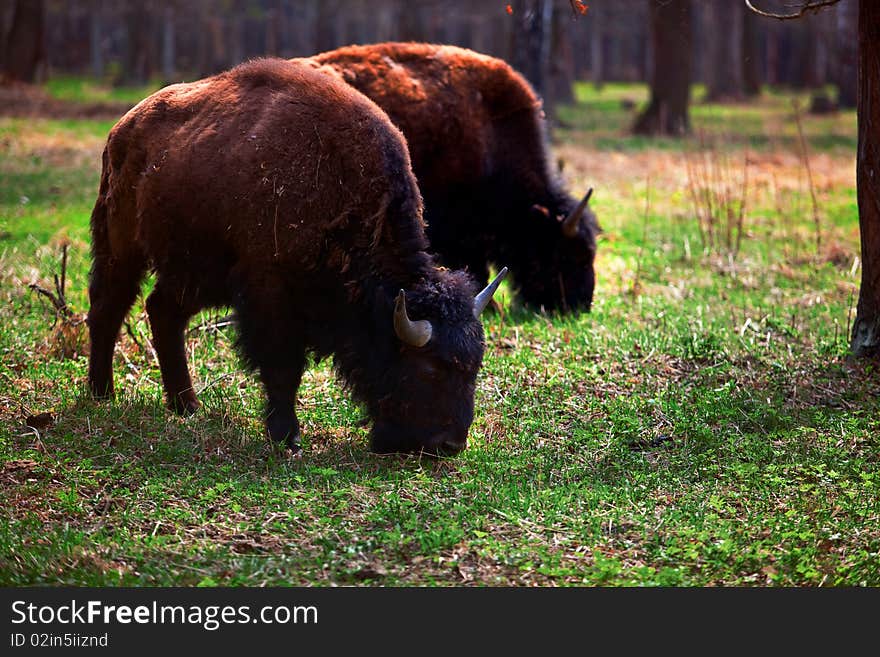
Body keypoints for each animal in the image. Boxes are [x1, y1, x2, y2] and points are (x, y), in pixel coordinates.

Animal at [88, 57, 506, 456]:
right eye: (430, 369)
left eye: (474, 367)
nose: (450, 445)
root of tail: (124, 127)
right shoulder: (270, 296)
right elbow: (282, 367)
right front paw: (286, 437)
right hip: (122, 248)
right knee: (108, 308)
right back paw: (101, 394)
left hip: (197, 273)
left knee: (163, 312)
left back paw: (186, 406)